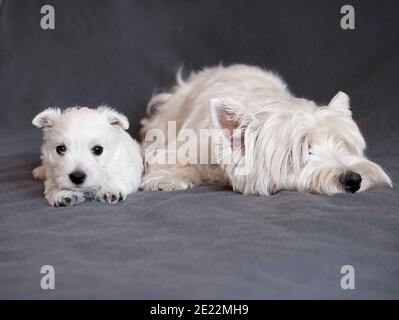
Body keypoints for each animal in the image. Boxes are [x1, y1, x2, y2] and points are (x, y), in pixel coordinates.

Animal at [141, 64, 394, 195]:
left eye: (343, 144)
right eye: (303, 150)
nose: (354, 180)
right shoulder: (187, 145)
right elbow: (170, 159)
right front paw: (166, 180)